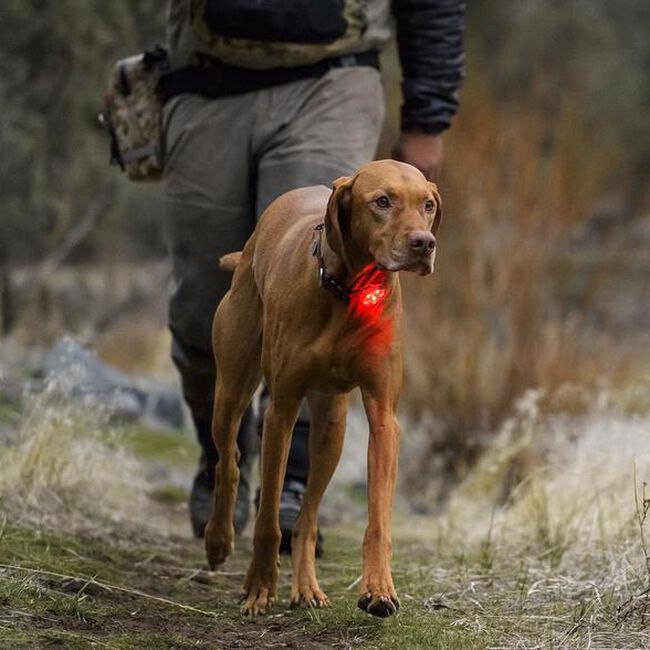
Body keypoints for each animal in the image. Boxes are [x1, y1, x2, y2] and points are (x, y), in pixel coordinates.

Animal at [205, 159, 442, 616]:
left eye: (428, 205)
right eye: (382, 201)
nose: (425, 243)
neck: (348, 290)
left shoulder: (384, 418)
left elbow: (378, 519)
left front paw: (379, 588)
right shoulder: (281, 409)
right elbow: (267, 519)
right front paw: (259, 586)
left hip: (331, 427)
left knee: (308, 515)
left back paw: (306, 586)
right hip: (231, 389)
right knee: (230, 461)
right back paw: (218, 539)